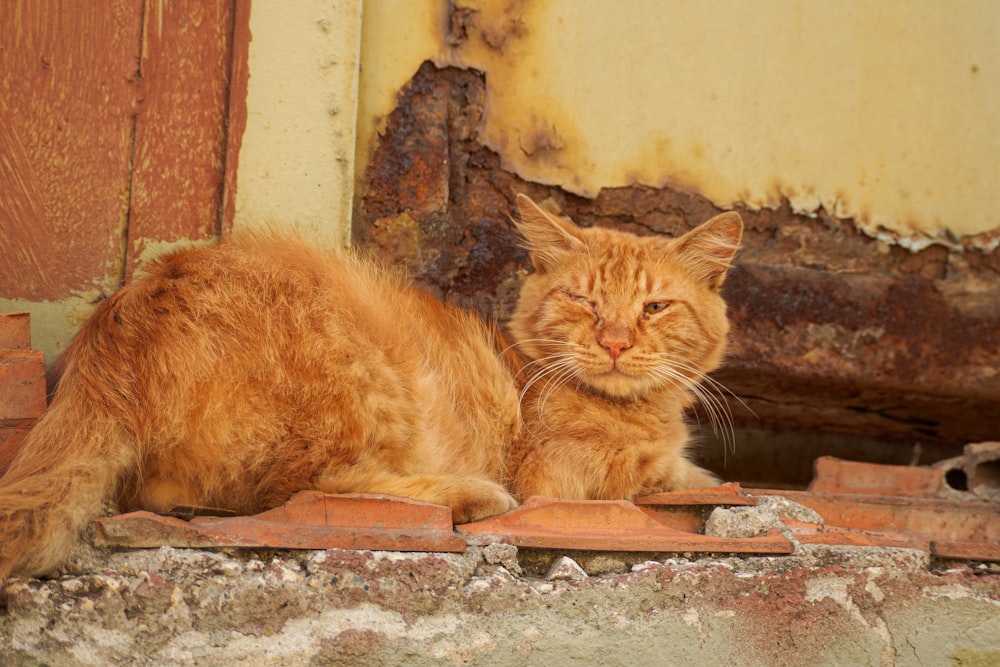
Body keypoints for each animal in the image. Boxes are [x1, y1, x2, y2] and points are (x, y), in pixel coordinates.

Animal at [0, 194, 740, 580]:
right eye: (583, 301)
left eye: (654, 308)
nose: (614, 342)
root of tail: (119, 321)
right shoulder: (560, 473)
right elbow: (663, 471)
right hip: (359, 371)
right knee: (306, 488)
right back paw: (470, 495)